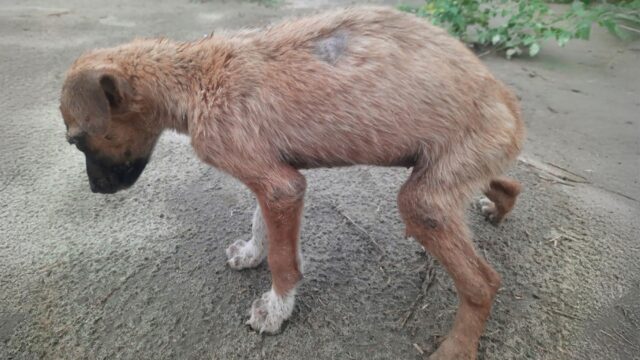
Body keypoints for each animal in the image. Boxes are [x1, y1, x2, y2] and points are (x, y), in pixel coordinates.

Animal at [57, 7, 524, 358]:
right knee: (504, 183)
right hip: (445, 168)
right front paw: (252, 253)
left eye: (77, 140)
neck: (194, 80)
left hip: (422, 202)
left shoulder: (280, 186)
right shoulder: (269, 178)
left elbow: (284, 260)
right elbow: (259, 223)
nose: (96, 191)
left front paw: (276, 309)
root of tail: (508, 106)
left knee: (482, 284)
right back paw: (498, 205)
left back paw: (457, 347)